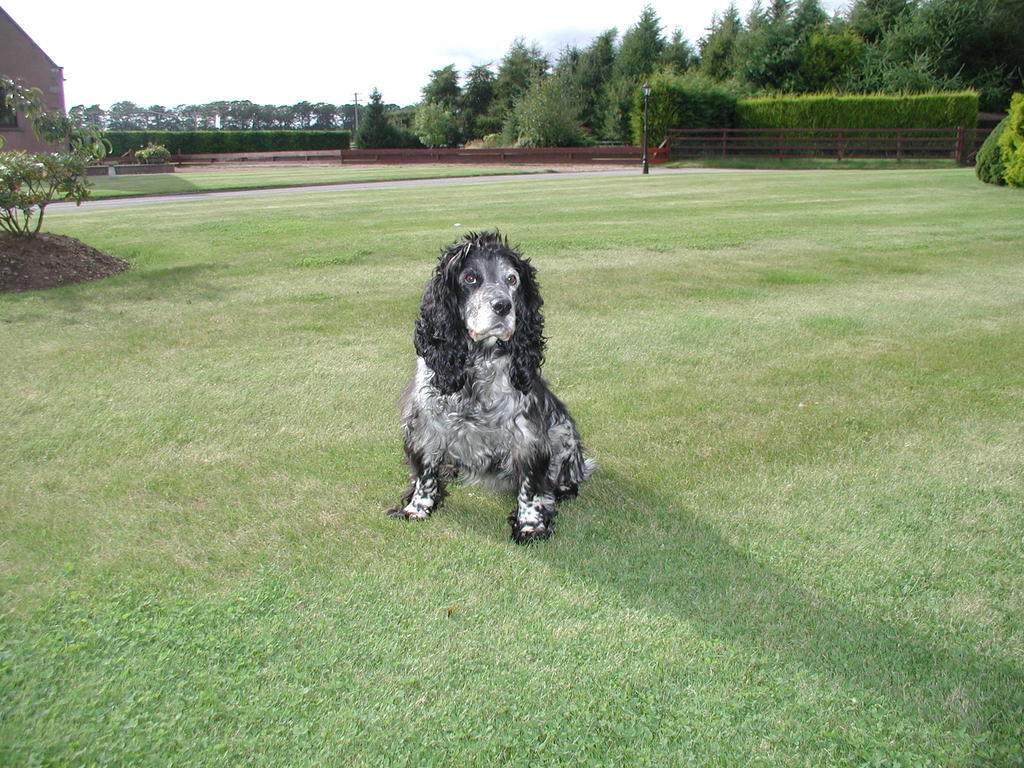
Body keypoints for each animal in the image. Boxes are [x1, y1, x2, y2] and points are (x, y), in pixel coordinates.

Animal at [388, 231, 594, 542]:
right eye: (470, 278)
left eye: (512, 279)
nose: (503, 306)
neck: (478, 364)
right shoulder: (425, 425)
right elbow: (425, 472)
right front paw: (417, 507)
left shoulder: (529, 435)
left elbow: (530, 486)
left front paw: (530, 524)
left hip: (563, 431)